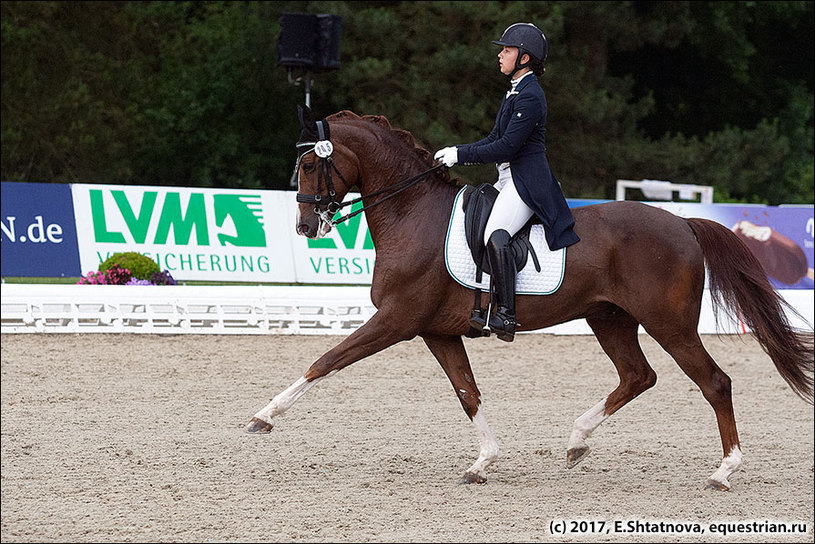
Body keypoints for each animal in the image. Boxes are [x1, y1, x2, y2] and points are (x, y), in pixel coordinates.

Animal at [245, 105, 812, 488]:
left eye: (312, 167)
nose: (305, 227)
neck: (412, 214)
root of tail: (682, 223)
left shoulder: (396, 320)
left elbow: (326, 360)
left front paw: (263, 417)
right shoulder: (435, 331)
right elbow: (467, 392)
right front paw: (483, 462)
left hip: (669, 324)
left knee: (714, 382)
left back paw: (724, 471)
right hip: (609, 318)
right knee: (638, 376)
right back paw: (577, 441)